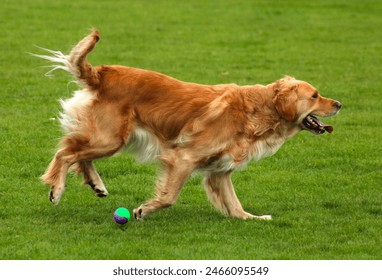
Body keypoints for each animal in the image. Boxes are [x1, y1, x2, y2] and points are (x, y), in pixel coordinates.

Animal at [34, 29, 342, 221]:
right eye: (315, 96)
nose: (339, 103)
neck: (259, 110)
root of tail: (102, 73)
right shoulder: (183, 156)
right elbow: (170, 196)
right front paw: (145, 210)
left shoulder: (220, 171)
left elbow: (235, 204)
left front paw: (253, 218)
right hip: (110, 139)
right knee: (65, 152)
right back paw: (57, 190)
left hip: (110, 139)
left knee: (77, 151)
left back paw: (96, 184)